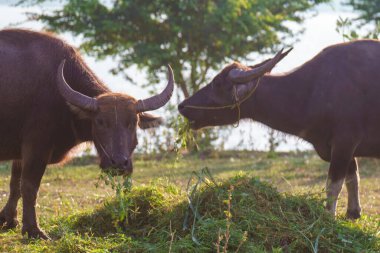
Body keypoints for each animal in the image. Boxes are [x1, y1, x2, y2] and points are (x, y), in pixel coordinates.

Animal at [0, 28, 174, 238]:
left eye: (133, 122)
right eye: (100, 122)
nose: (119, 164)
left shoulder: (20, 152)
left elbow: (15, 184)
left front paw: (8, 220)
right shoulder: (36, 146)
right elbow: (29, 186)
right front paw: (33, 230)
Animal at [177, 40, 380, 219]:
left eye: (217, 83)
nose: (182, 106)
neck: (310, 90)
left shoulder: (345, 142)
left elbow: (333, 185)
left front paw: (328, 217)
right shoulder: (339, 147)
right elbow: (352, 178)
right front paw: (353, 213)